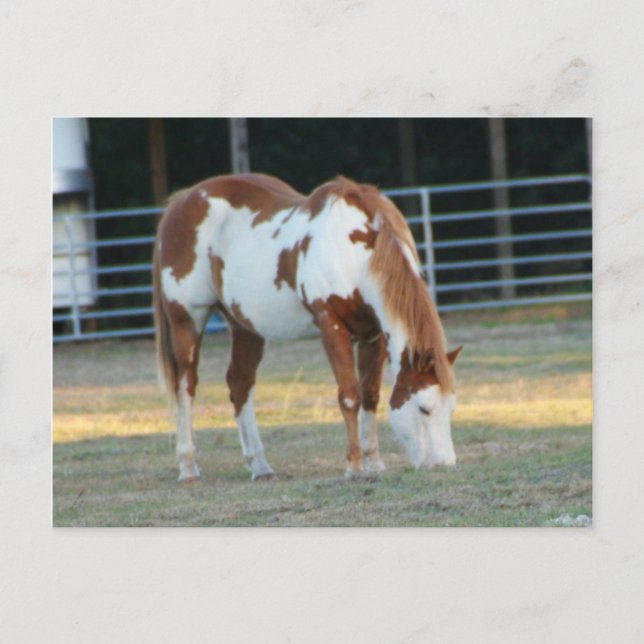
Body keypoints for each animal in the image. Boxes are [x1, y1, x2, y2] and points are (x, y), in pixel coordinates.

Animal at [152, 173, 462, 482]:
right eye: (424, 408)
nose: (445, 464)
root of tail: (181, 201)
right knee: (185, 386)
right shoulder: (332, 327)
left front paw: (374, 463)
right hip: (187, 320)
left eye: (450, 407)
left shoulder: (373, 336)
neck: (354, 254)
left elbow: (370, 396)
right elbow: (349, 395)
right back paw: (188, 467)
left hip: (245, 327)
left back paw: (260, 466)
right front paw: (354, 466)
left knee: (240, 383)